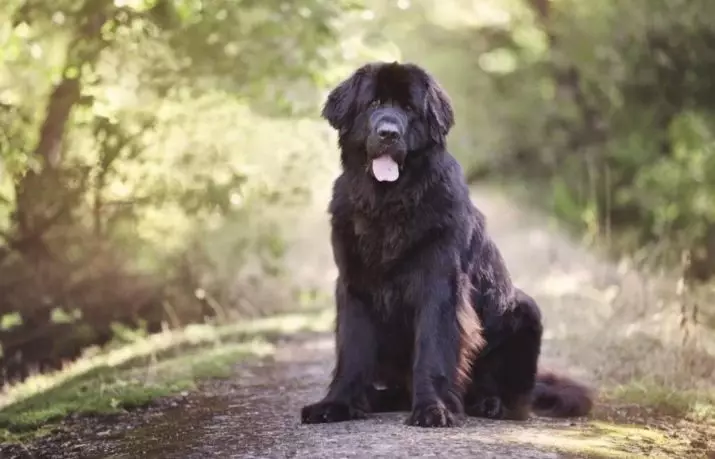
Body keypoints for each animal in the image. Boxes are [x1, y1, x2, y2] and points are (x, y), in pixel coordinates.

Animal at [300, 61, 592, 428]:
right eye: (373, 104)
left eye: (409, 109)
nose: (388, 133)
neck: (389, 202)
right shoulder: (354, 284)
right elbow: (351, 351)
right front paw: (336, 404)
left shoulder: (439, 284)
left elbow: (433, 350)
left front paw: (432, 408)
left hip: (525, 312)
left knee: (514, 398)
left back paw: (489, 404)